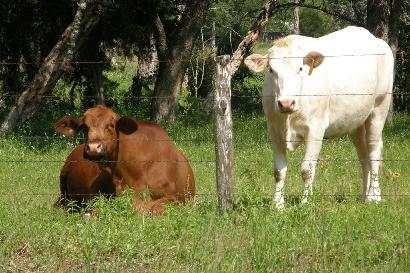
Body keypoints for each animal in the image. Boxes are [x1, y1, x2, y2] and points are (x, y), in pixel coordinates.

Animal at [243, 26, 394, 208]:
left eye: (300, 68)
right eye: (271, 70)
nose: (286, 103)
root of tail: (377, 40)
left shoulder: (316, 129)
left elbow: (307, 169)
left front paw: (305, 203)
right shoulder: (273, 130)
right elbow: (279, 171)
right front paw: (277, 205)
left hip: (379, 109)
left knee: (374, 153)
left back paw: (375, 197)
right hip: (356, 122)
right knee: (363, 157)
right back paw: (365, 196)